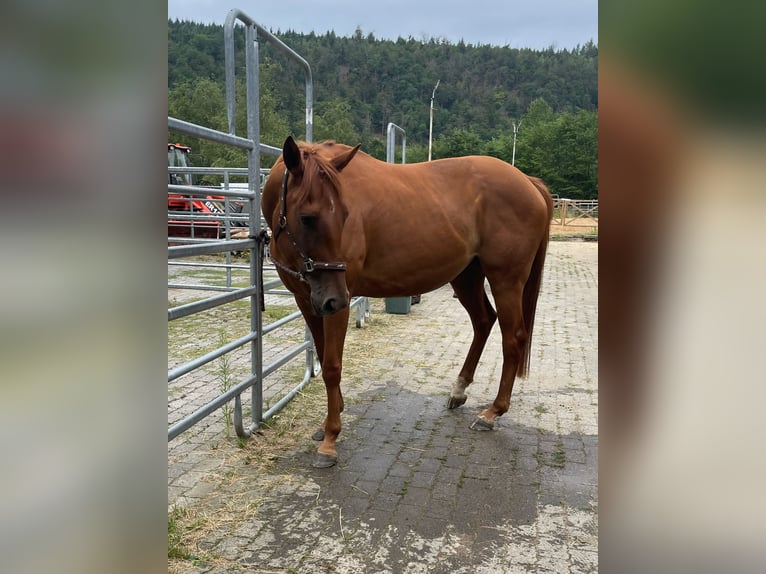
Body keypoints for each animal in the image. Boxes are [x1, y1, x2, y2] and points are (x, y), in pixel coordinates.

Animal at [264, 137, 552, 470]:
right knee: (483, 322)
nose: (337, 297)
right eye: (307, 217)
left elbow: (333, 366)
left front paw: (330, 439)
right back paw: (459, 390)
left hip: (506, 280)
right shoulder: (309, 301)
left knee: (513, 338)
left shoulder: (335, 306)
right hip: (466, 277)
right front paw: (327, 424)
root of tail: (528, 182)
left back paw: (492, 413)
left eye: (345, 214)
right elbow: (324, 360)